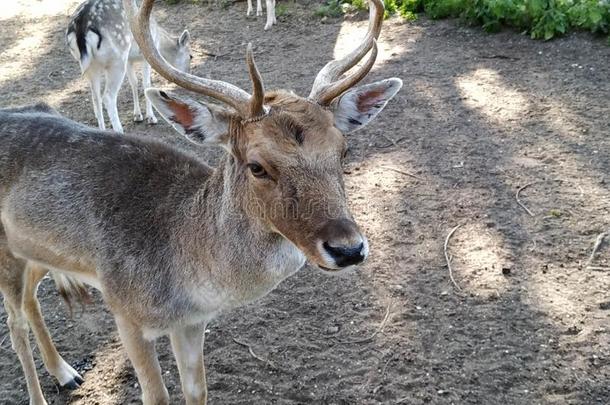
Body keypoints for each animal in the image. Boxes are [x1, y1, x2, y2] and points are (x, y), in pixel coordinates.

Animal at [65, 0, 191, 132]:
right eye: (191, 56)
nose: (187, 73)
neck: (158, 42)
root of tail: (81, 28)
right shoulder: (146, 56)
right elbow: (146, 84)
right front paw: (151, 118)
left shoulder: (129, 59)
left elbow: (134, 82)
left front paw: (137, 115)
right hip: (117, 60)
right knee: (108, 97)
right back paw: (119, 130)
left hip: (91, 66)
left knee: (95, 97)